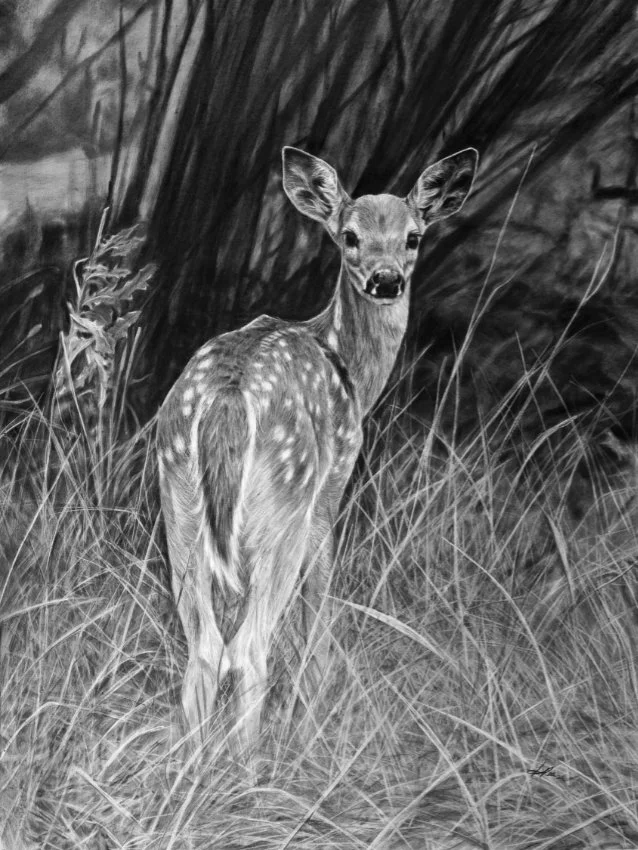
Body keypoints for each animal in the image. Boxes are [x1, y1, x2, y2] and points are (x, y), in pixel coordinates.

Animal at [156, 145, 478, 752]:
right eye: (349, 236)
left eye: (413, 237)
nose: (385, 279)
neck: (349, 366)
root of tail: (226, 403)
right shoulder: (332, 489)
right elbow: (319, 615)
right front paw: (314, 716)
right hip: (285, 503)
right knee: (249, 649)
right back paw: (248, 766)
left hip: (178, 507)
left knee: (204, 649)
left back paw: (194, 765)